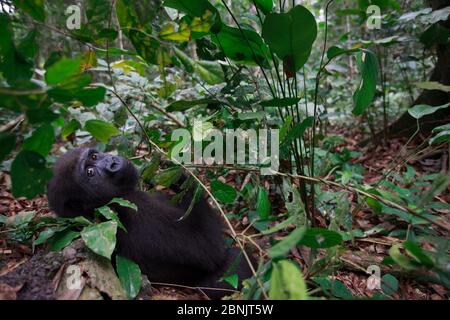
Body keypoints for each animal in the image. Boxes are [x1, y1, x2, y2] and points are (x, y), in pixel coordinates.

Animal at [49, 148, 255, 298]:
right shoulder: (131, 208)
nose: (112, 162)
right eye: (90, 172)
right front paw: (181, 177)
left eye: (94, 155)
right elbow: (210, 249)